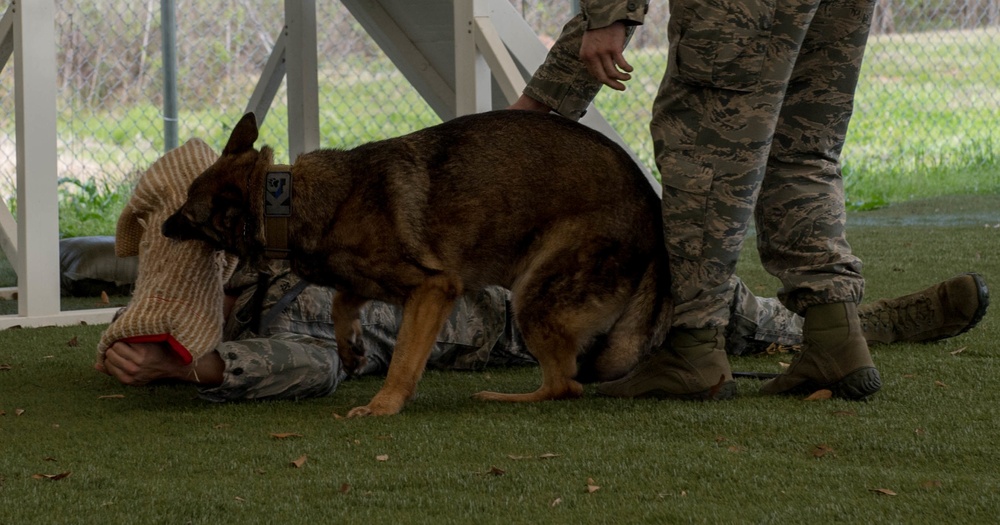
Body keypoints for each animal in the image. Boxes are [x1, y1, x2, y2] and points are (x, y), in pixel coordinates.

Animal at [162, 111, 672, 418]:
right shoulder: (372, 284)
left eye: (188, 212)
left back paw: (504, 396)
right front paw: (350, 348)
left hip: (533, 297)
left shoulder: (432, 290)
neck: (287, 203)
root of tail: (651, 204)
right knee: (566, 381)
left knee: (566, 386)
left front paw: (384, 405)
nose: (164, 227)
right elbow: (341, 303)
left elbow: (404, 358)